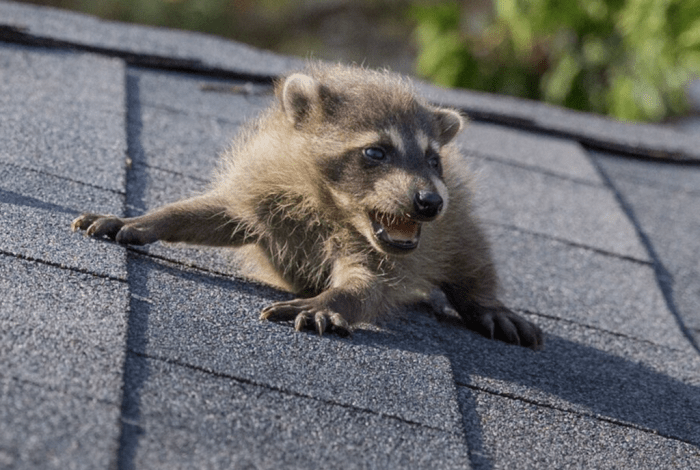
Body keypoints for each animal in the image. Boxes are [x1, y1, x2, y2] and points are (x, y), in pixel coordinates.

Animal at [71, 63, 542, 349]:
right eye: (376, 152)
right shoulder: (265, 186)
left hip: (458, 220)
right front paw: (149, 218)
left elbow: (365, 284)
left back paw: (485, 301)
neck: (328, 204)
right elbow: (214, 214)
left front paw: (330, 301)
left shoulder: (381, 248)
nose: (429, 202)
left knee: (472, 255)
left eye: (433, 160)